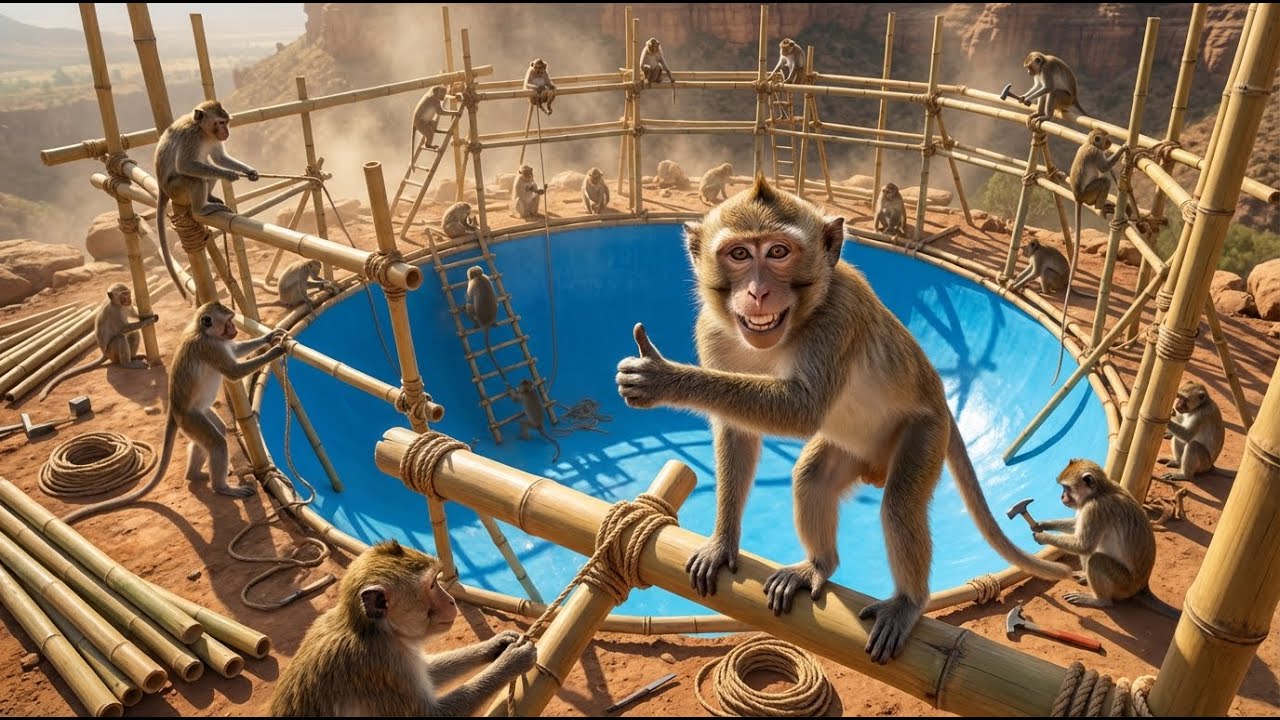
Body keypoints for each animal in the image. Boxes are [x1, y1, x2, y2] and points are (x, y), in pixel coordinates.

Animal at [154, 100, 259, 301]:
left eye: (226, 122)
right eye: (220, 122)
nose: (226, 132)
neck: (203, 131)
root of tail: (162, 188)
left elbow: (219, 158)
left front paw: (249, 171)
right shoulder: (191, 137)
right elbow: (186, 165)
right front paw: (229, 174)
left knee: (207, 171)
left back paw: (210, 198)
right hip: (176, 190)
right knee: (197, 178)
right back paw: (201, 209)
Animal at [269, 539, 537, 716]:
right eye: (432, 586)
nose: (451, 601)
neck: (373, 630)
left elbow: (427, 672)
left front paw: (497, 645)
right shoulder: (381, 665)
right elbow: (430, 715)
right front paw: (512, 661)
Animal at [615, 176, 1071, 665]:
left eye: (778, 252)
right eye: (738, 254)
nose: (757, 292)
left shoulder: (838, 317)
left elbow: (803, 408)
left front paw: (664, 379)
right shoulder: (713, 330)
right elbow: (737, 432)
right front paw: (723, 542)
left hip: (925, 433)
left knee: (900, 504)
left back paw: (908, 602)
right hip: (856, 450)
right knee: (812, 478)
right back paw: (818, 565)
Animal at [1030, 459, 1180, 618]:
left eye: (1066, 488)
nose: (1062, 497)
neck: (1099, 492)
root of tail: (1142, 586)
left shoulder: (1095, 509)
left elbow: (1083, 545)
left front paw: (1042, 537)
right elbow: (1076, 528)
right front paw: (1043, 524)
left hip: (1123, 584)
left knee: (1096, 559)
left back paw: (1100, 601)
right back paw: (1085, 577)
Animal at [1052, 129, 1128, 383]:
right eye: (1104, 139)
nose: (1110, 142)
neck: (1088, 143)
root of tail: (1077, 197)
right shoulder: (1096, 153)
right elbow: (1103, 168)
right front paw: (1124, 149)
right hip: (1089, 193)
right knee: (1102, 181)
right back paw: (1101, 207)